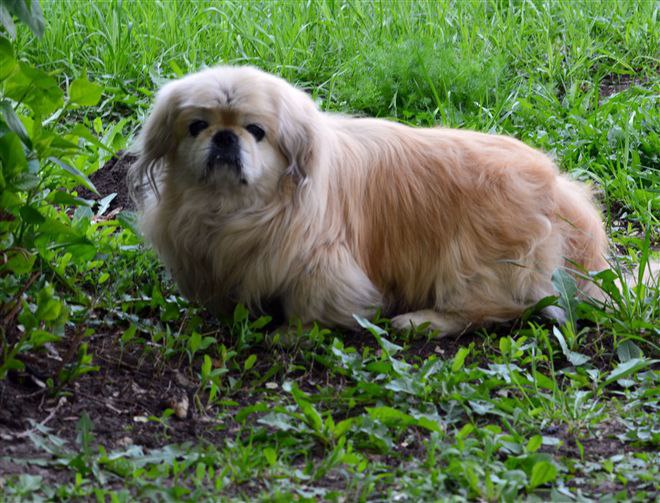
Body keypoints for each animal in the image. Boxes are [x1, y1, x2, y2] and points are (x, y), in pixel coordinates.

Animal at [129, 66, 608, 334]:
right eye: (197, 126)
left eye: (256, 131)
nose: (225, 137)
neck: (231, 209)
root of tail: (557, 186)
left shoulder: (321, 263)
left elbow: (311, 306)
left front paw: (290, 333)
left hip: (476, 261)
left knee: (503, 306)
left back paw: (422, 322)